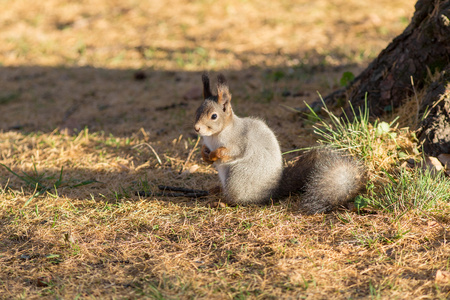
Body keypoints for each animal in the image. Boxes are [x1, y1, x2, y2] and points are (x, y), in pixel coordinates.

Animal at [193, 72, 366, 213]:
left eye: (214, 116)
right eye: (197, 111)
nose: (196, 128)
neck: (215, 135)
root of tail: (271, 192)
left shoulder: (238, 142)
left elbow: (229, 152)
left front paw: (215, 154)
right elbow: (205, 149)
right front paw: (204, 154)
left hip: (237, 178)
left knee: (240, 201)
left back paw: (223, 203)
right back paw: (216, 189)